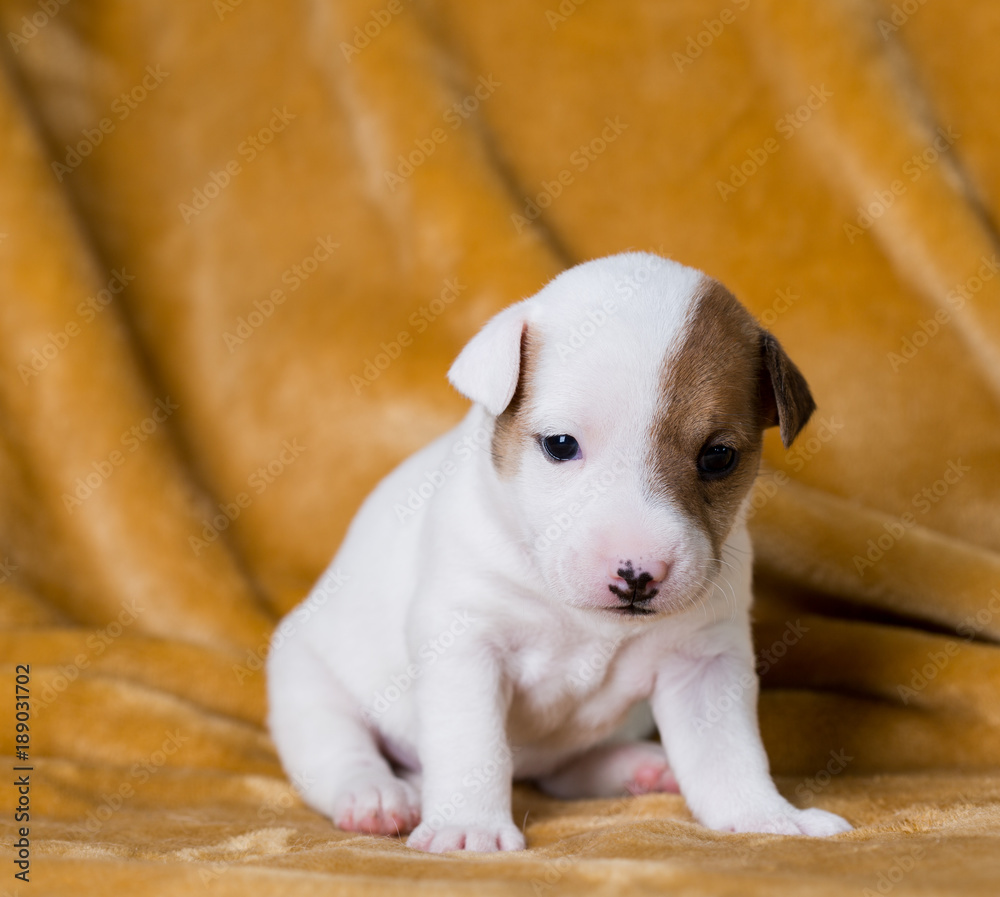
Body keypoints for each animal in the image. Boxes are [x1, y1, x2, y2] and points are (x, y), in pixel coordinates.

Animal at [266, 252, 852, 856]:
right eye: (560, 445)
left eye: (718, 457)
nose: (637, 573)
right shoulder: (466, 643)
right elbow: (471, 743)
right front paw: (470, 827)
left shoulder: (702, 663)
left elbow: (729, 756)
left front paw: (766, 817)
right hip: (307, 681)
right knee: (339, 749)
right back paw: (375, 796)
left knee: (567, 771)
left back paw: (635, 766)